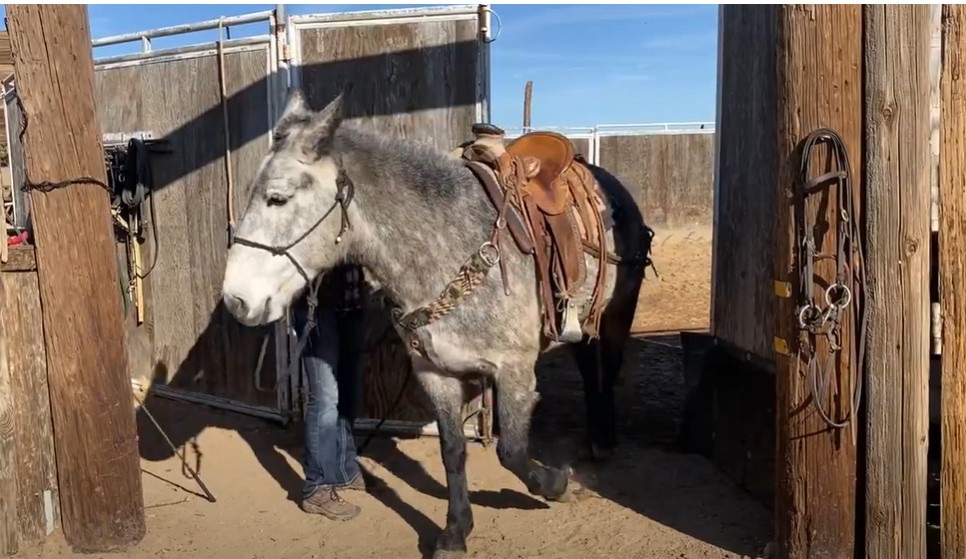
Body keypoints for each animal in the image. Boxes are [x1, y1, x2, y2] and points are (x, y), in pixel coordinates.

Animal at [220, 90, 652, 559]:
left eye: (277, 198)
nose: (236, 299)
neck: (446, 245)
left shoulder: (514, 369)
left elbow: (512, 451)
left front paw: (558, 484)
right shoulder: (435, 372)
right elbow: (452, 452)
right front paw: (455, 531)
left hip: (618, 313)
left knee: (608, 371)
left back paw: (603, 441)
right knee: (590, 371)